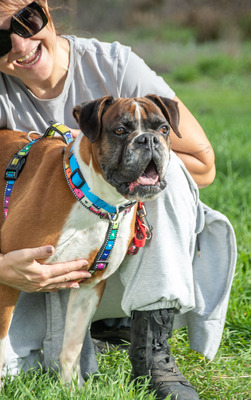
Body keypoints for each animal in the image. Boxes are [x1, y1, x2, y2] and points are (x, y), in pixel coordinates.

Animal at [0, 94, 180, 388]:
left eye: (163, 128)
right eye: (120, 130)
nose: (149, 140)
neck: (96, 200)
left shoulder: (89, 288)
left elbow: (71, 346)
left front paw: (71, 387)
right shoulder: (9, 278)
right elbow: (1, 344)